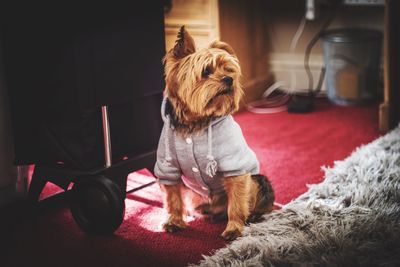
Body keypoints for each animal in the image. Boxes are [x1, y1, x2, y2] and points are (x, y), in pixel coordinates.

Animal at [154, 26, 276, 241]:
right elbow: (172, 197)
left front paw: (234, 228)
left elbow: (237, 201)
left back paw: (252, 216)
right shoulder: (167, 167)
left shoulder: (235, 166)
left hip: (258, 181)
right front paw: (173, 221)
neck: (196, 122)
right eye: (206, 71)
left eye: (228, 70)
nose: (230, 79)